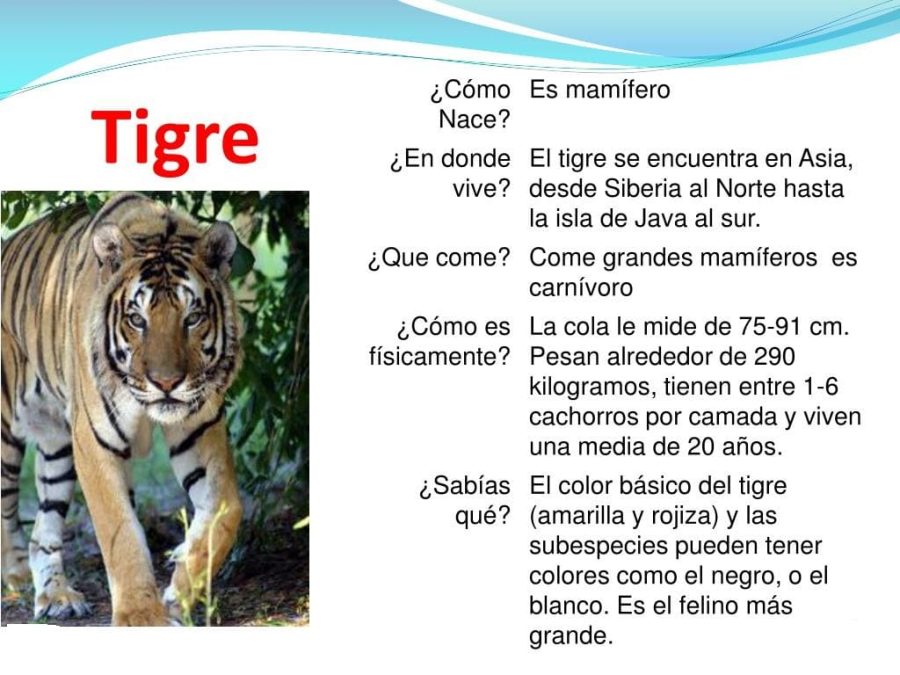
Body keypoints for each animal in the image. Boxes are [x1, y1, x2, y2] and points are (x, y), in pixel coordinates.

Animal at [1, 192, 243, 625]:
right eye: (136, 319)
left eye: (192, 318)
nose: (166, 383)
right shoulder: (95, 442)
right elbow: (120, 533)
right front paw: (141, 616)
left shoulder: (200, 428)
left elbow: (226, 511)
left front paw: (179, 591)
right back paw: (15, 577)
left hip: (56, 446)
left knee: (43, 530)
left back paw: (56, 596)